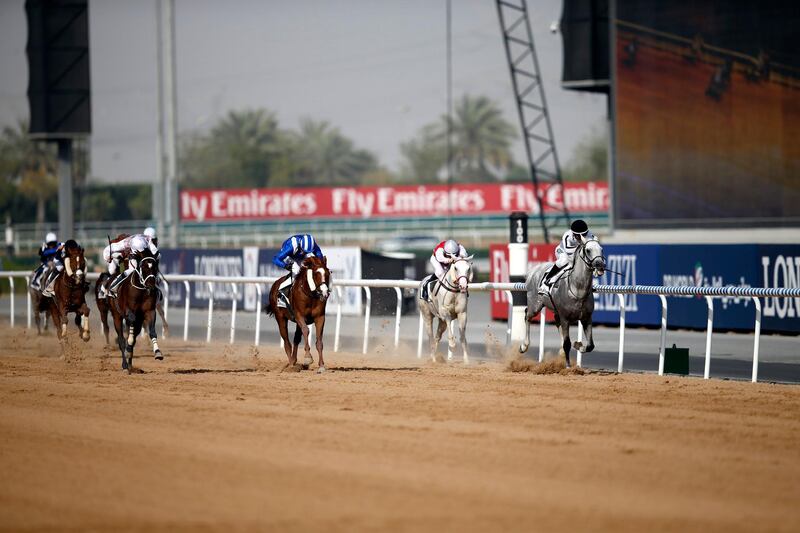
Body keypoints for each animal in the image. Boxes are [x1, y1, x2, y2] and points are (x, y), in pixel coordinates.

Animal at [520, 239, 604, 368]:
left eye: (601, 249)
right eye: (588, 250)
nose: (600, 265)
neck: (577, 289)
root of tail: (533, 270)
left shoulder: (587, 318)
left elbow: (590, 345)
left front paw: (578, 345)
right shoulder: (565, 318)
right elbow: (567, 343)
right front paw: (568, 366)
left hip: (555, 310)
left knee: (556, 322)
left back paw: (561, 352)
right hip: (535, 305)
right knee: (527, 316)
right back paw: (524, 346)